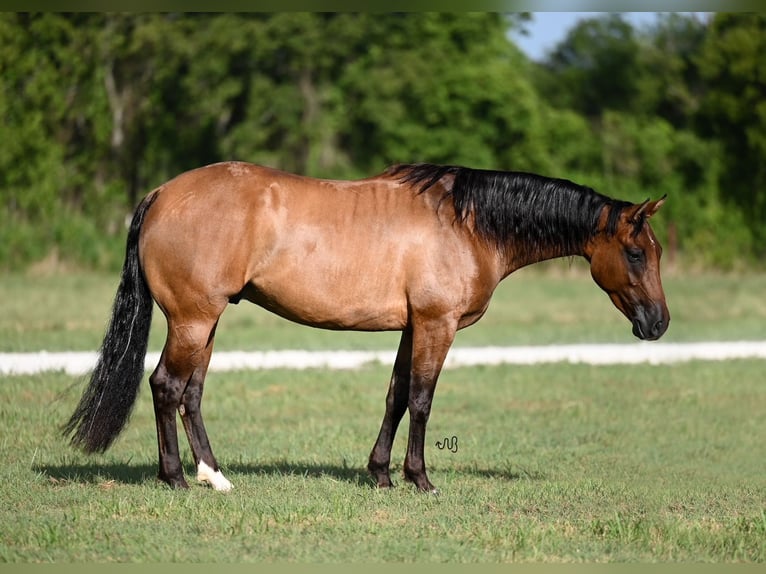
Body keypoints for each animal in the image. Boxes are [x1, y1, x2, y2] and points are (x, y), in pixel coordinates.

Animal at [63, 162, 668, 496]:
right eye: (636, 253)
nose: (659, 324)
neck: (468, 223)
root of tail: (160, 194)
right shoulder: (436, 324)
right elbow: (422, 399)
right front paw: (419, 479)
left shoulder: (411, 327)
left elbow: (396, 396)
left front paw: (379, 474)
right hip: (193, 319)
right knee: (166, 387)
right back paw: (175, 478)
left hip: (206, 322)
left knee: (191, 393)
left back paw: (215, 476)